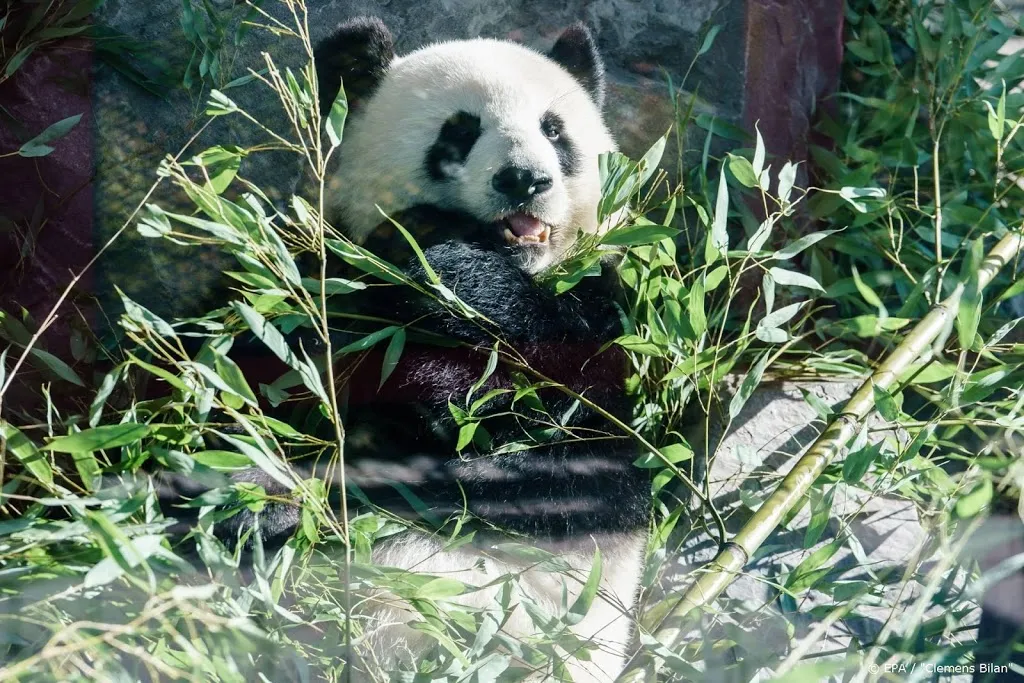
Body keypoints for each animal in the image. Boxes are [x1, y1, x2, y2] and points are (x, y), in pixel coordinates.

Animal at [207, 15, 647, 683]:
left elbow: (582, 453)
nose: (525, 179)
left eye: (554, 129)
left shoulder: (607, 317)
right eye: (460, 131)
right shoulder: (299, 288)